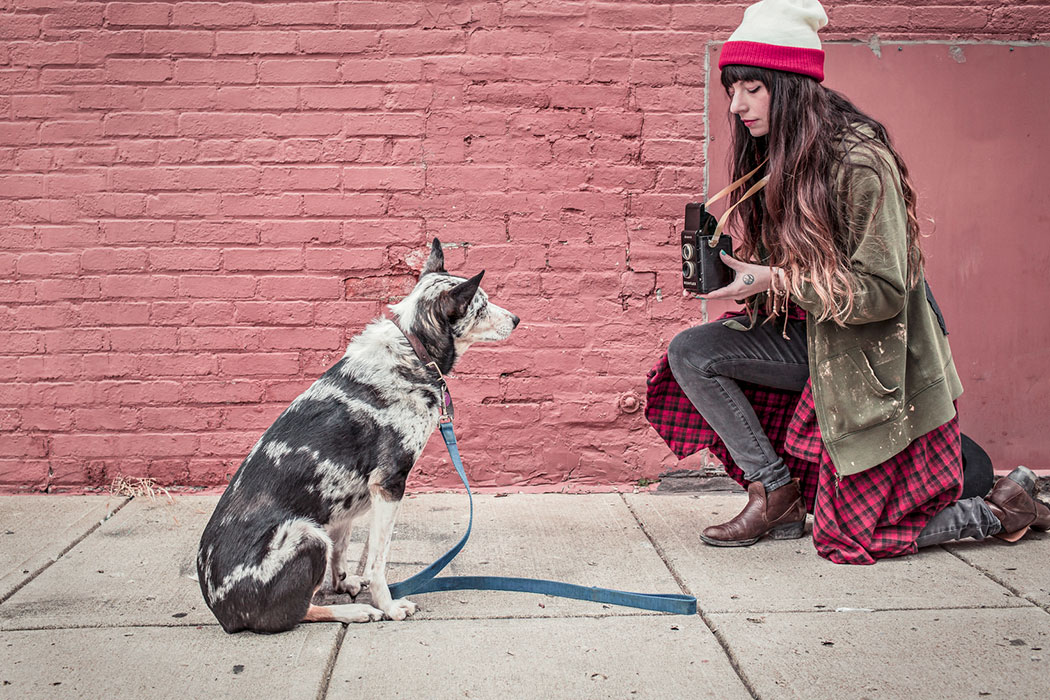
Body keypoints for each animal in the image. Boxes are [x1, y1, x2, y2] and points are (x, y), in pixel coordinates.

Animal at [196, 241, 516, 633]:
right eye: (481, 305)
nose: (516, 319)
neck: (414, 350)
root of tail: (223, 613)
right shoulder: (388, 485)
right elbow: (378, 560)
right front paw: (388, 605)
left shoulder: (346, 504)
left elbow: (345, 548)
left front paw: (344, 583)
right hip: (307, 535)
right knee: (295, 612)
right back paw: (356, 612)